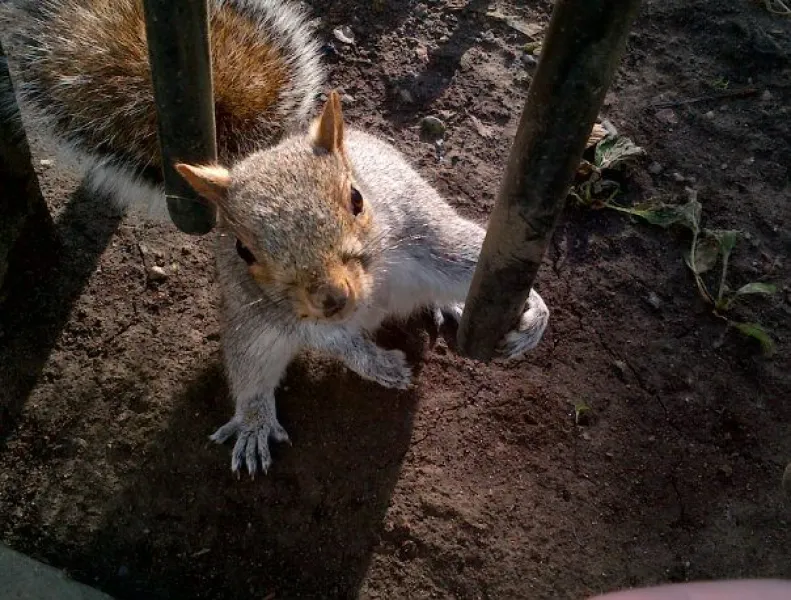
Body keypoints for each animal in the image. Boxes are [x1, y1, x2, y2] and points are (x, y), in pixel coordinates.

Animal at [1, 0, 550, 476]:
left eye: (357, 199)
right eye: (243, 249)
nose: (332, 298)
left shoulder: (423, 234)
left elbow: (469, 257)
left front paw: (534, 315)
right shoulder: (278, 309)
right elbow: (325, 337)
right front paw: (375, 364)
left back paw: (452, 304)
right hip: (251, 328)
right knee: (251, 368)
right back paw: (253, 421)